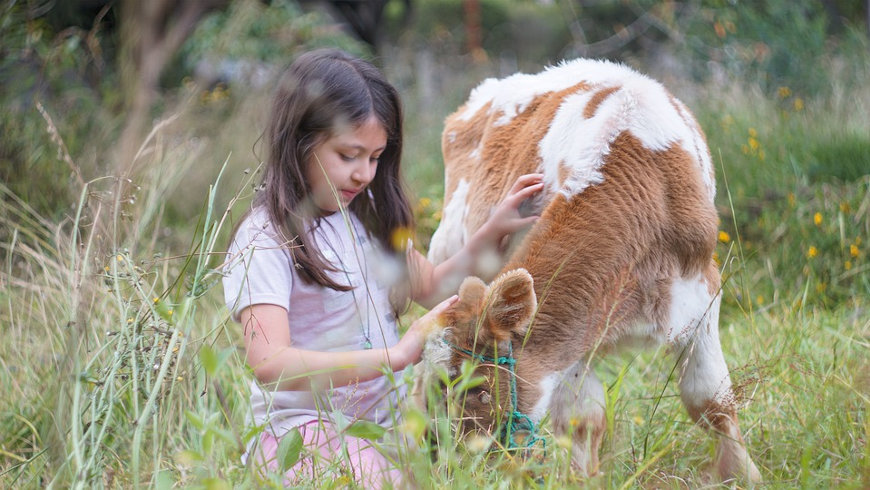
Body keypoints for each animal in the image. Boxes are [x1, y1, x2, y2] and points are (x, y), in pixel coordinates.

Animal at [422, 58, 764, 482]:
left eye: (475, 389)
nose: (452, 465)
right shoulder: (576, 330)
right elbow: (581, 419)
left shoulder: (701, 295)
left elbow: (711, 401)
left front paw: (744, 475)